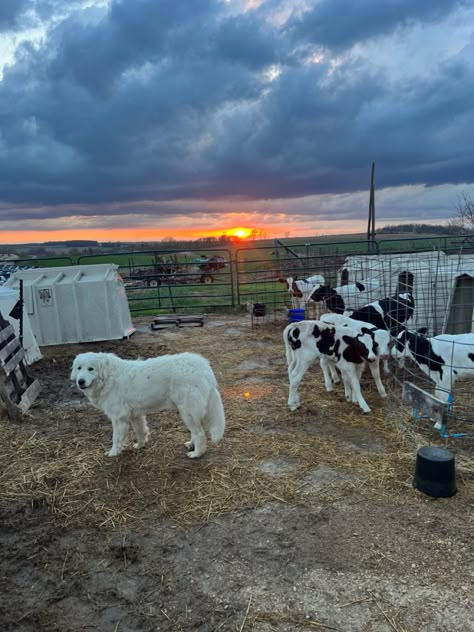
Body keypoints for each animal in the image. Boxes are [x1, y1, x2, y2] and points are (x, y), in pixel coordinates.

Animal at [70, 350, 226, 460]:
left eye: (91, 369)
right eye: (79, 368)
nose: (80, 381)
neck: (108, 377)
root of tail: (203, 366)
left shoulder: (118, 418)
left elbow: (116, 438)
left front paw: (113, 453)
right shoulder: (135, 415)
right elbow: (140, 431)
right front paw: (140, 445)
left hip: (187, 412)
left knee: (199, 433)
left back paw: (197, 453)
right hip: (189, 412)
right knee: (196, 431)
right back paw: (191, 445)